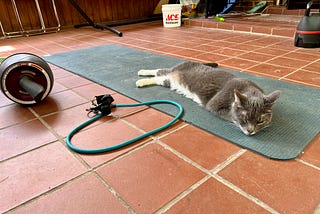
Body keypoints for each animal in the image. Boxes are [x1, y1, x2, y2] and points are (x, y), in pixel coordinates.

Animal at [135, 61, 280, 135]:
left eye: (260, 121)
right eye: (244, 118)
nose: (250, 131)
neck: (249, 88)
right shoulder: (214, 104)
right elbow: (230, 116)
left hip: (168, 81)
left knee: (159, 75)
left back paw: (142, 76)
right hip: (171, 74)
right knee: (159, 70)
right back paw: (141, 76)